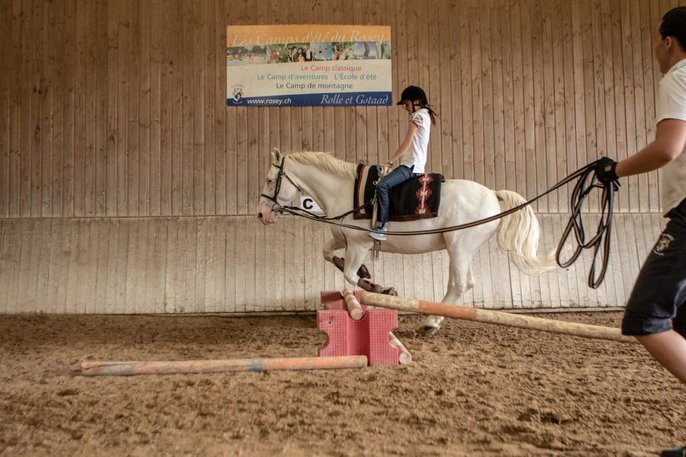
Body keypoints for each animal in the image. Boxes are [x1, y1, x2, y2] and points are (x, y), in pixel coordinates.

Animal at [258, 150, 560, 332]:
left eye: (271, 179)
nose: (262, 214)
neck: (345, 192)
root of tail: (493, 195)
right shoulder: (341, 239)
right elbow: (328, 254)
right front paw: (370, 277)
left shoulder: (359, 244)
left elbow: (349, 277)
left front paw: (377, 288)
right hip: (457, 249)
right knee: (456, 284)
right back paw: (434, 319)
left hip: (460, 246)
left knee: (461, 283)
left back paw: (430, 322)